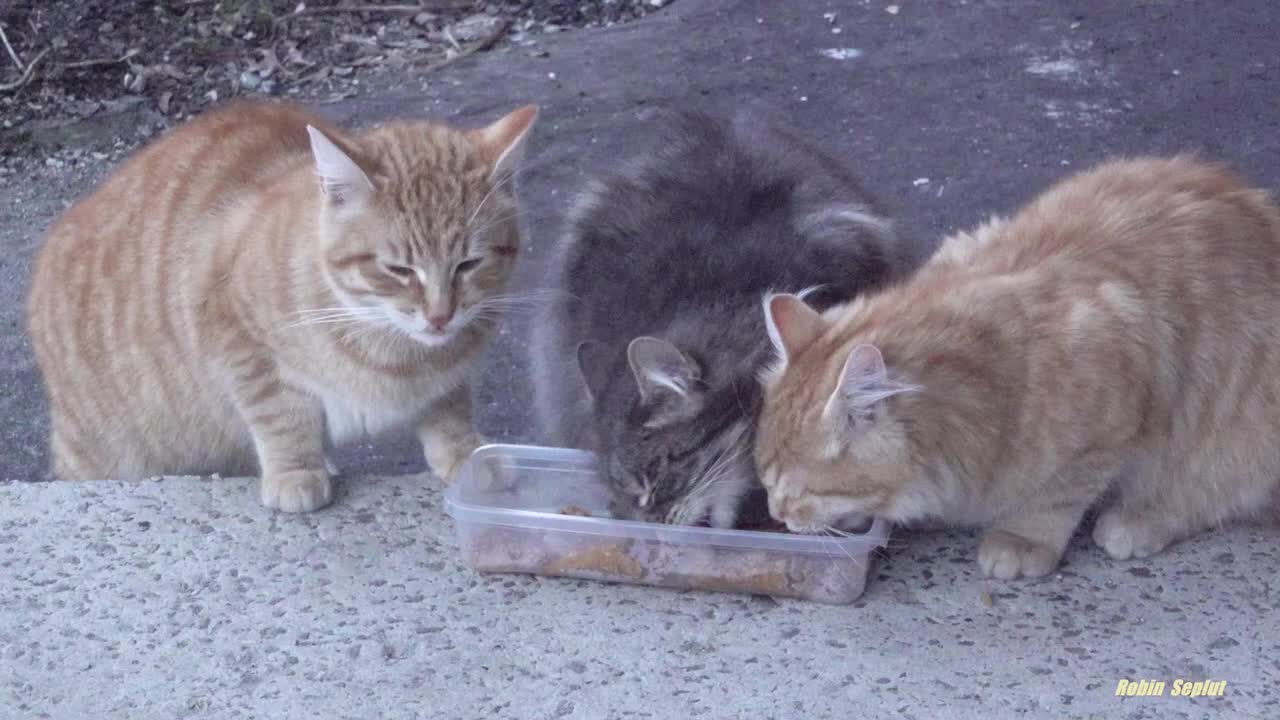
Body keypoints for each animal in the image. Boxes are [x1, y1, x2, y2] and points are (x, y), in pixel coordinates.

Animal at [26, 99, 535, 509]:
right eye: (399, 269)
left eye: (468, 263)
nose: (439, 316)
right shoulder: (234, 333)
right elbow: (279, 413)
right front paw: (296, 472)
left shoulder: (450, 372)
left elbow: (450, 408)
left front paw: (468, 456)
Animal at [752, 156, 1280, 576]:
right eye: (766, 481)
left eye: (801, 492)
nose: (778, 515)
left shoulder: (1108, 421)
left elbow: (1055, 496)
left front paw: (1023, 540)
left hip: (1236, 433)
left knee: (1206, 492)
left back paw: (1138, 520)